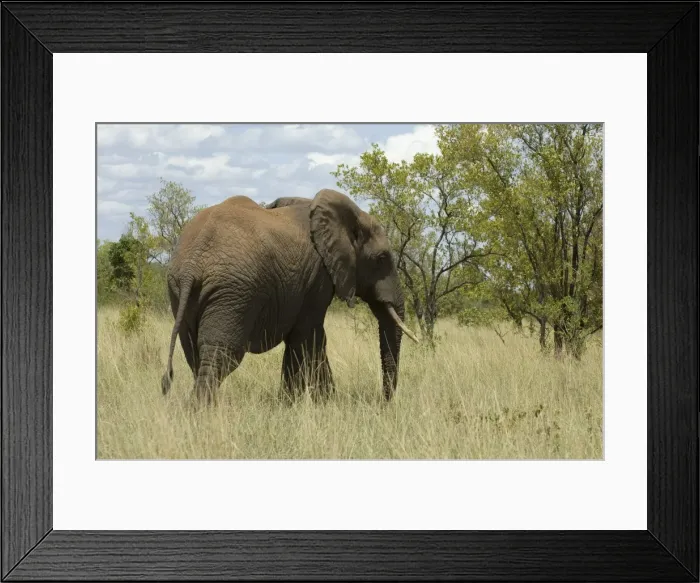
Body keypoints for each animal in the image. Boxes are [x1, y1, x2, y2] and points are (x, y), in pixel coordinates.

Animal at [160, 188, 419, 405]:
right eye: (381, 258)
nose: (384, 403)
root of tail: (192, 263)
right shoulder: (317, 276)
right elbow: (309, 337)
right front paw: (319, 405)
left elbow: (302, 340)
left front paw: (294, 404)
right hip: (231, 292)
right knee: (220, 355)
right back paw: (203, 410)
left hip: (181, 291)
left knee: (195, 353)